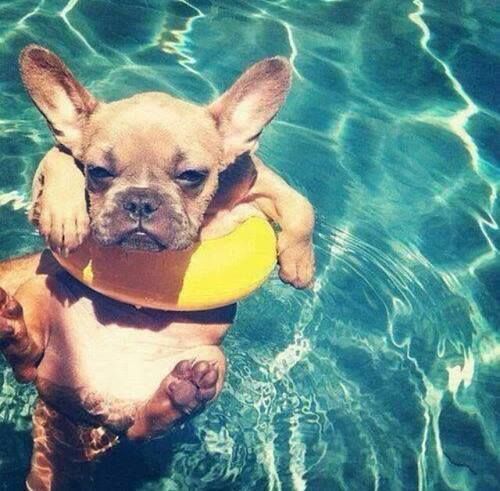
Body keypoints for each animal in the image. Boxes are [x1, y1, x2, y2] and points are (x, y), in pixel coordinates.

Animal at [0, 45, 315, 490]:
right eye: (98, 172)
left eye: (192, 176)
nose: (140, 200)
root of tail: (97, 414)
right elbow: (59, 157)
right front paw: (64, 212)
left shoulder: (255, 182)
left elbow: (301, 206)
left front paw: (299, 263)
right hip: (38, 294)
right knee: (26, 362)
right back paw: (12, 326)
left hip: (213, 360)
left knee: (146, 428)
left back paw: (181, 394)